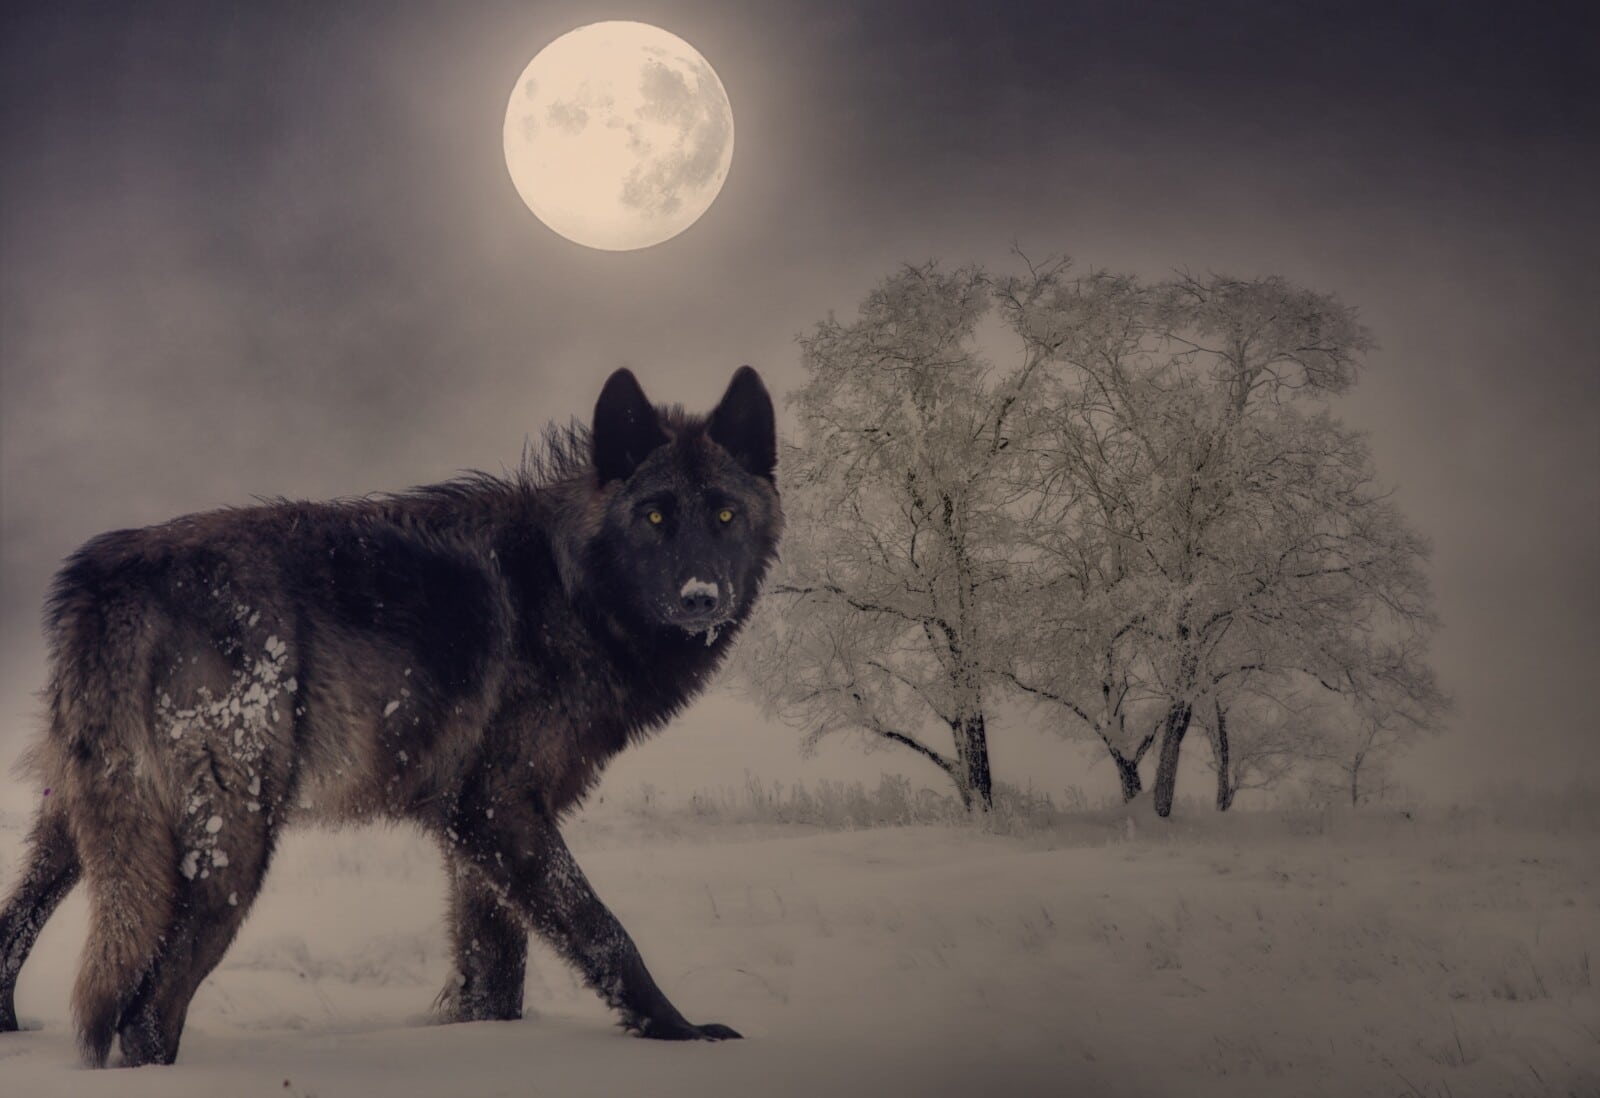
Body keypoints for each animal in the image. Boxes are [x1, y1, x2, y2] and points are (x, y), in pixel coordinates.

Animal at [0, 366, 781, 1066]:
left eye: (725, 515)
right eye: (655, 516)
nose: (701, 597)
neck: (570, 588)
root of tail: (110, 578)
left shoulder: (472, 837)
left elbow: (493, 975)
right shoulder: (499, 809)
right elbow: (605, 932)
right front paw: (682, 1035)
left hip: (83, 827)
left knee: (15, 929)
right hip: (232, 848)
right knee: (145, 1013)